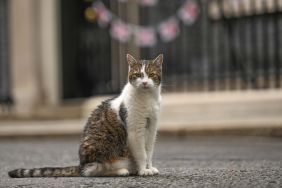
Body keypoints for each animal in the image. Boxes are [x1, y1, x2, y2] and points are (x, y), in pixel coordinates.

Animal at [8, 53, 163, 178]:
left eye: (151, 75)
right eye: (138, 75)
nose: (144, 82)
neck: (147, 98)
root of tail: (81, 164)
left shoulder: (152, 130)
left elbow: (149, 152)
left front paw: (149, 167)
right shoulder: (135, 131)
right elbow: (141, 153)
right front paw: (143, 170)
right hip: (103, 153)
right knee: (93, 171)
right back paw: (122, 171)